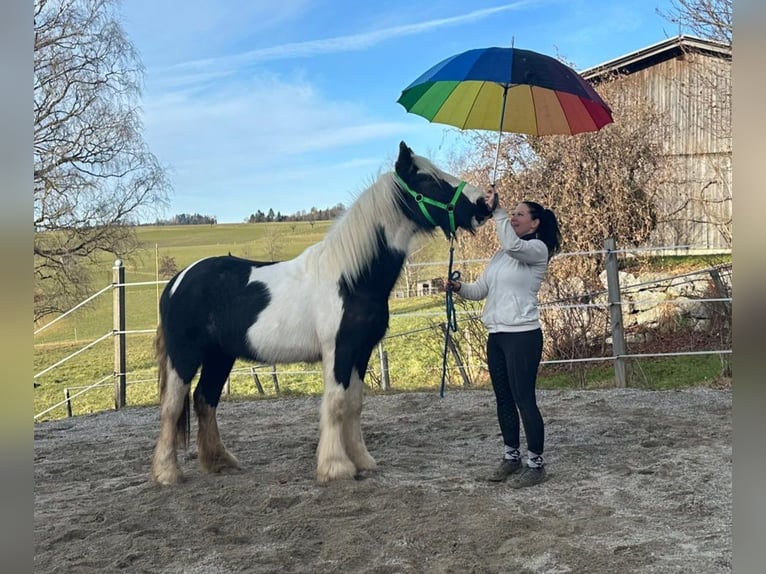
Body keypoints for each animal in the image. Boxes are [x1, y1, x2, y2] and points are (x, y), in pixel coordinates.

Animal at [153, 142, 496, 484]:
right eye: (427, 179)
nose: (484, 204)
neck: (351, 278)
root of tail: (178, 281)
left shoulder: (362, 351)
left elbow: (355, 404)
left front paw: (362, 460)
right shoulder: (338, 350)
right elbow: (335, 403)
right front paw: (335, 466)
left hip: (220, 356)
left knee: (205, 399)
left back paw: (219, 461)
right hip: (185, 356)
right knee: (172, 406)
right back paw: (168, 472)